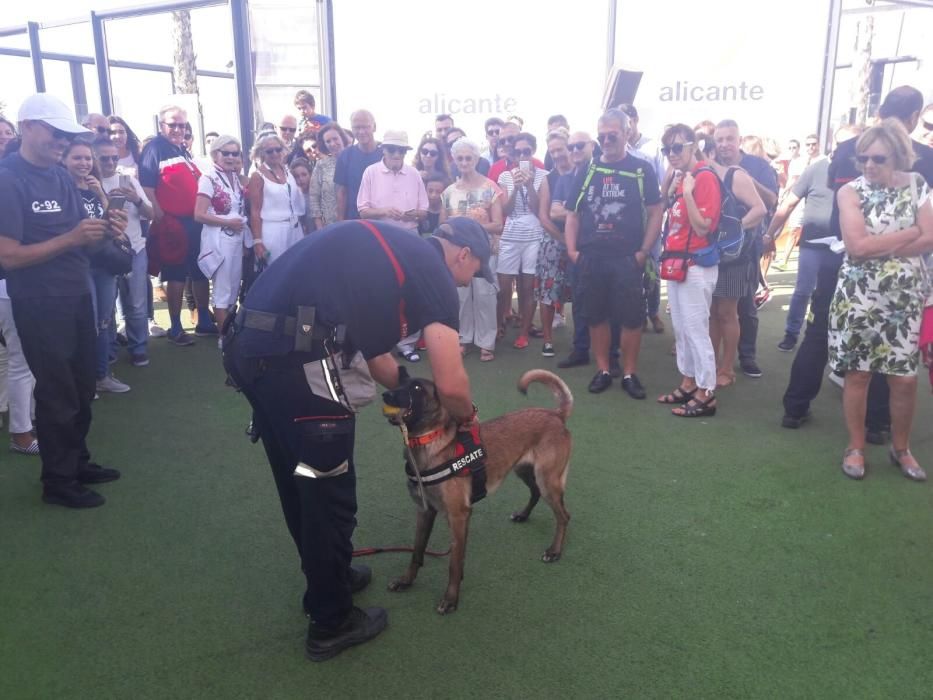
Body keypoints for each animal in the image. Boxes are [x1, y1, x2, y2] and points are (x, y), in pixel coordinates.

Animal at [380, 370, 572, 616]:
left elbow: (454, 563)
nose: (386, 395)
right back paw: (523, 515)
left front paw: (451, 599)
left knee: (563, 516)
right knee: (536, 493)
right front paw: (406, 580)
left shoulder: (458, 516)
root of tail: (556, 414)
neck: (427, 443)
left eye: (416, 388)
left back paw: (555, 551)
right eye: (399, 382)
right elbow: (417, 551)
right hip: (525, 471)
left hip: (548, 480)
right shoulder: (425, 512)